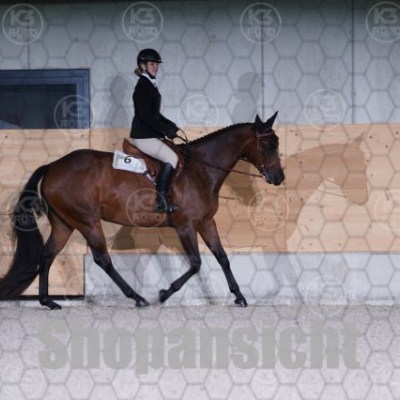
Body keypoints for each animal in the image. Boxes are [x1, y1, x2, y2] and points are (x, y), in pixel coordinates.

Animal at [0, 112, 285, 309]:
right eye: (268, 145)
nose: (279, 178)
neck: (201, 170)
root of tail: (52, 166)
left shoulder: (205, 223)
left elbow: (222, 257)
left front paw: (239, 296)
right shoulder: (185, 225)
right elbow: (196, 263)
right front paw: (164, 293)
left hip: (64, 223)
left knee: (48, 255)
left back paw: (48, 301)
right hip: (87, 221)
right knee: (102, 259)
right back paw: (137, 298)